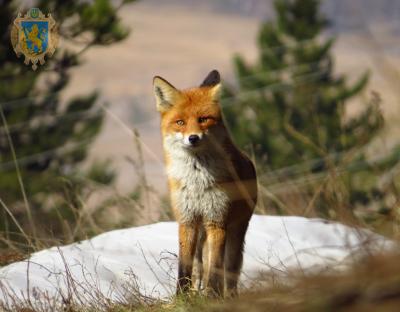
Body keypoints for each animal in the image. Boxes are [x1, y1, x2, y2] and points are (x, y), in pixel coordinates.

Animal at [152, 69, 258, 296]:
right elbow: (184, 266)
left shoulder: (216, 221)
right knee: (198, 265)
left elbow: (216, 267)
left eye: (203, 119)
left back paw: (228, 295)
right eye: (180, 122)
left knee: (229, 269)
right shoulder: (187, 220)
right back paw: (196, 290)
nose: (193, 138)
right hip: (201, 234)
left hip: (235, 232)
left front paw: (212, 295)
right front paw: (181, 296)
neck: (197, 181)